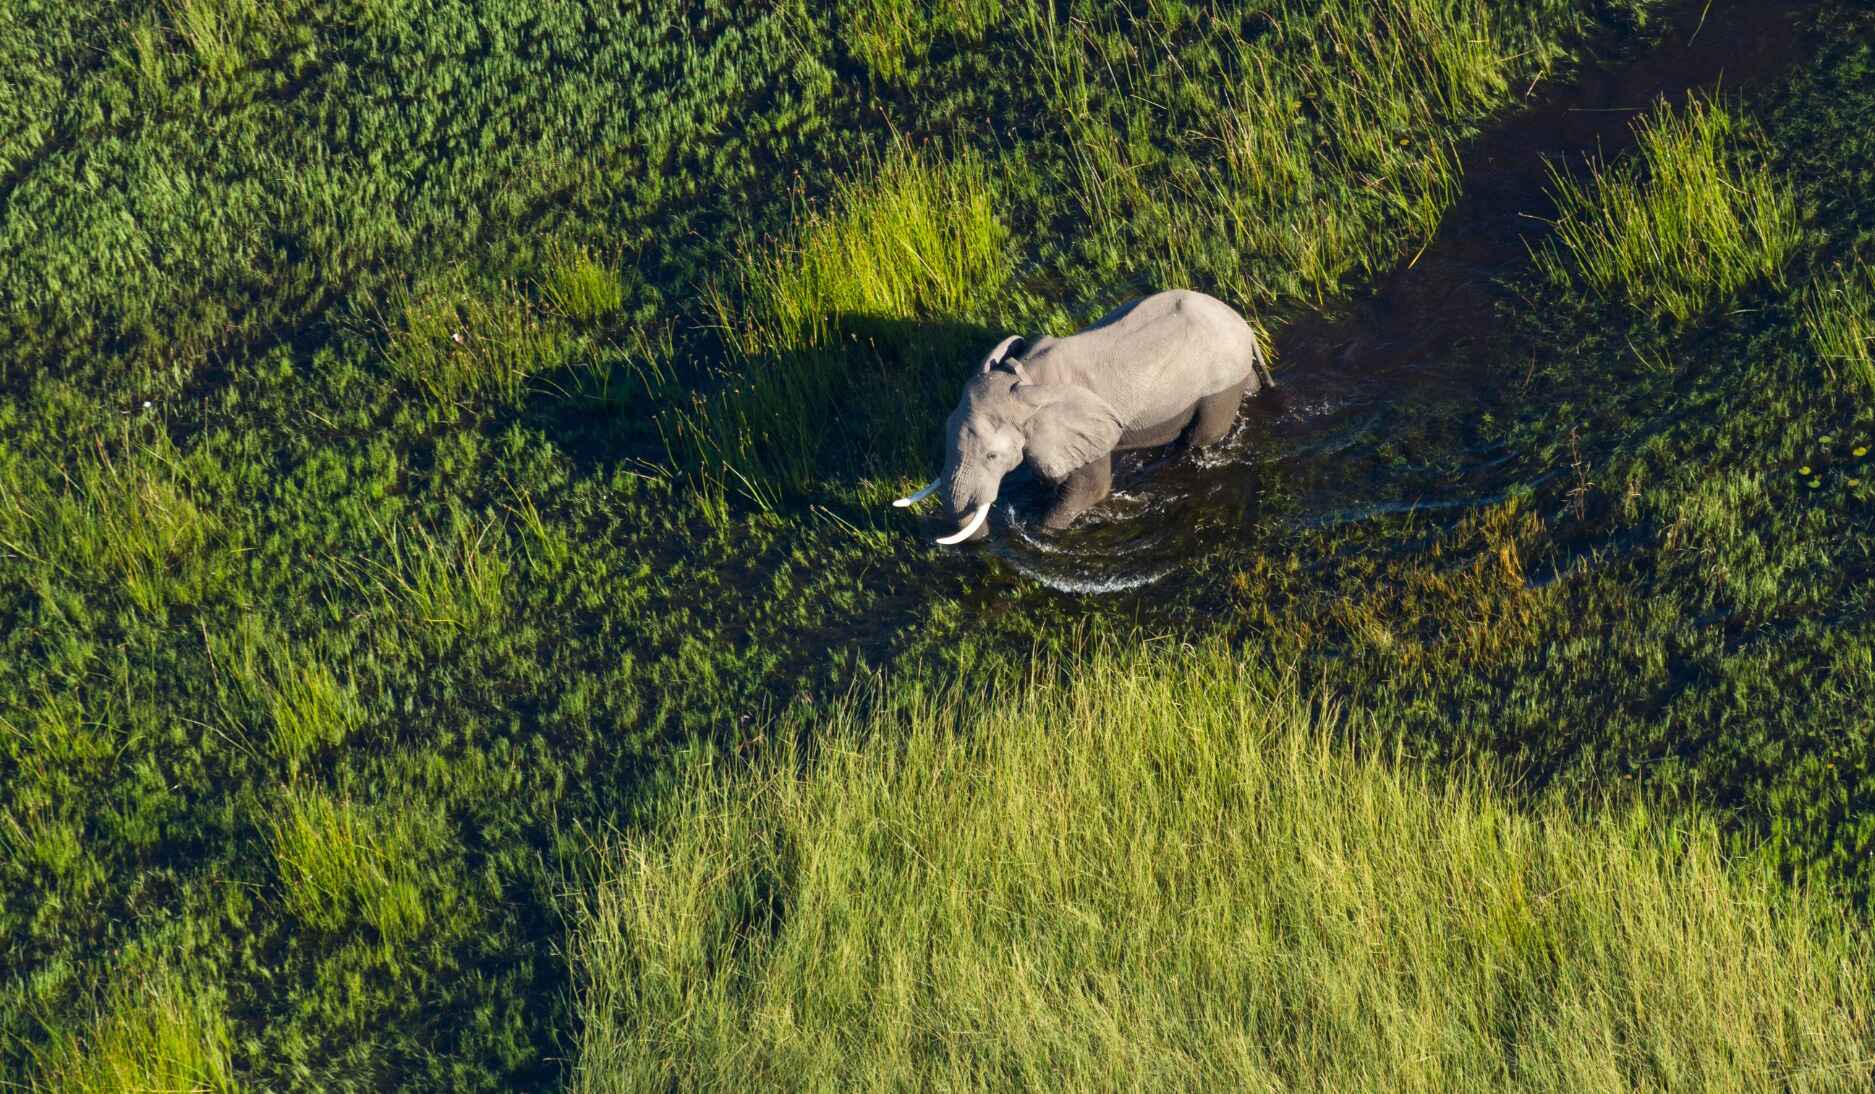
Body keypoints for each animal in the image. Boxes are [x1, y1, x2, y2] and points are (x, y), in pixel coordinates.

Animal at [888, 290, 1267, 544]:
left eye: (992, 456)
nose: (985, 540)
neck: (1025, 377)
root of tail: (1242, 323)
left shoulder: (1087, 429)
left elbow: (1090, 490)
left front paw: (1041, 531)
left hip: (1218, 383)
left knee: (1202, 436)